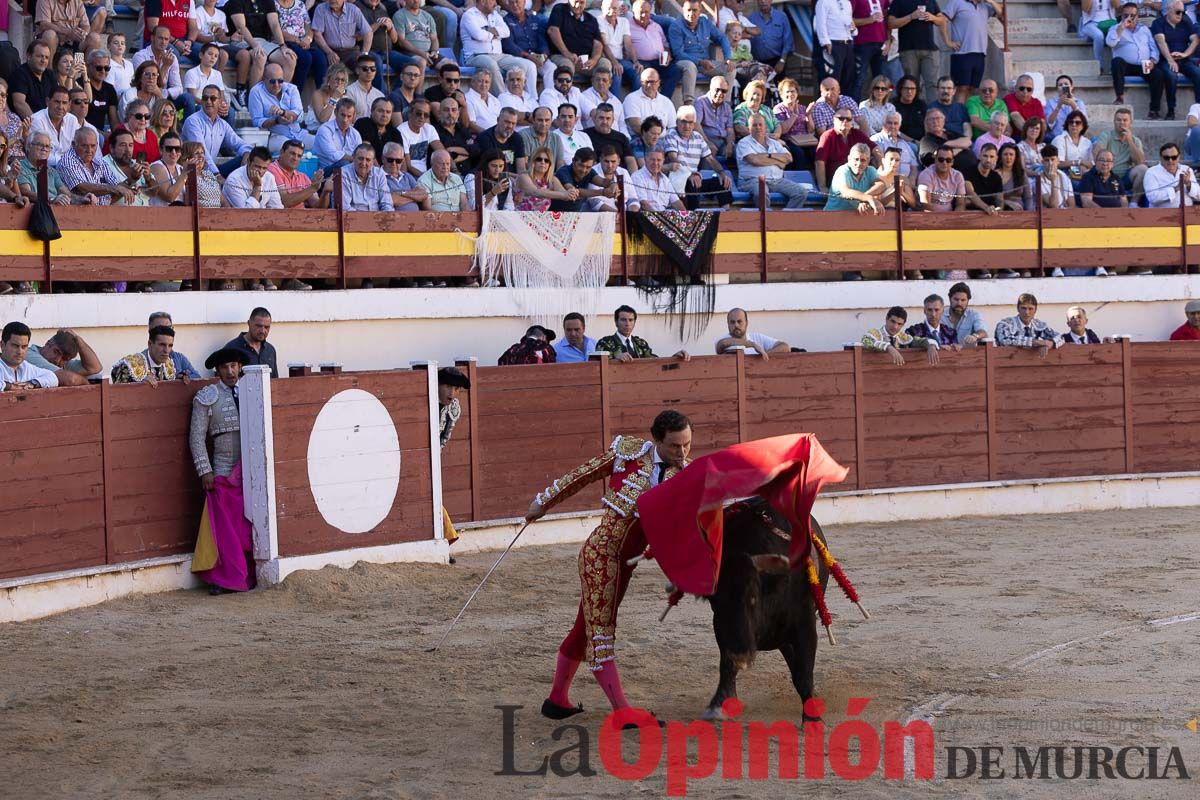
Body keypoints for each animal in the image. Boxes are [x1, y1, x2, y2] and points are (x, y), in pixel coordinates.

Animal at [700, 501, 825, 719]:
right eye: (715, 602)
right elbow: (727, 665)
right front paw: (718, 704)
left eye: (753, 598)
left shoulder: (805, 625)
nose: (741, 654)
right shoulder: (722, 627)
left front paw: (812, 718)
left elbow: (804, 674)